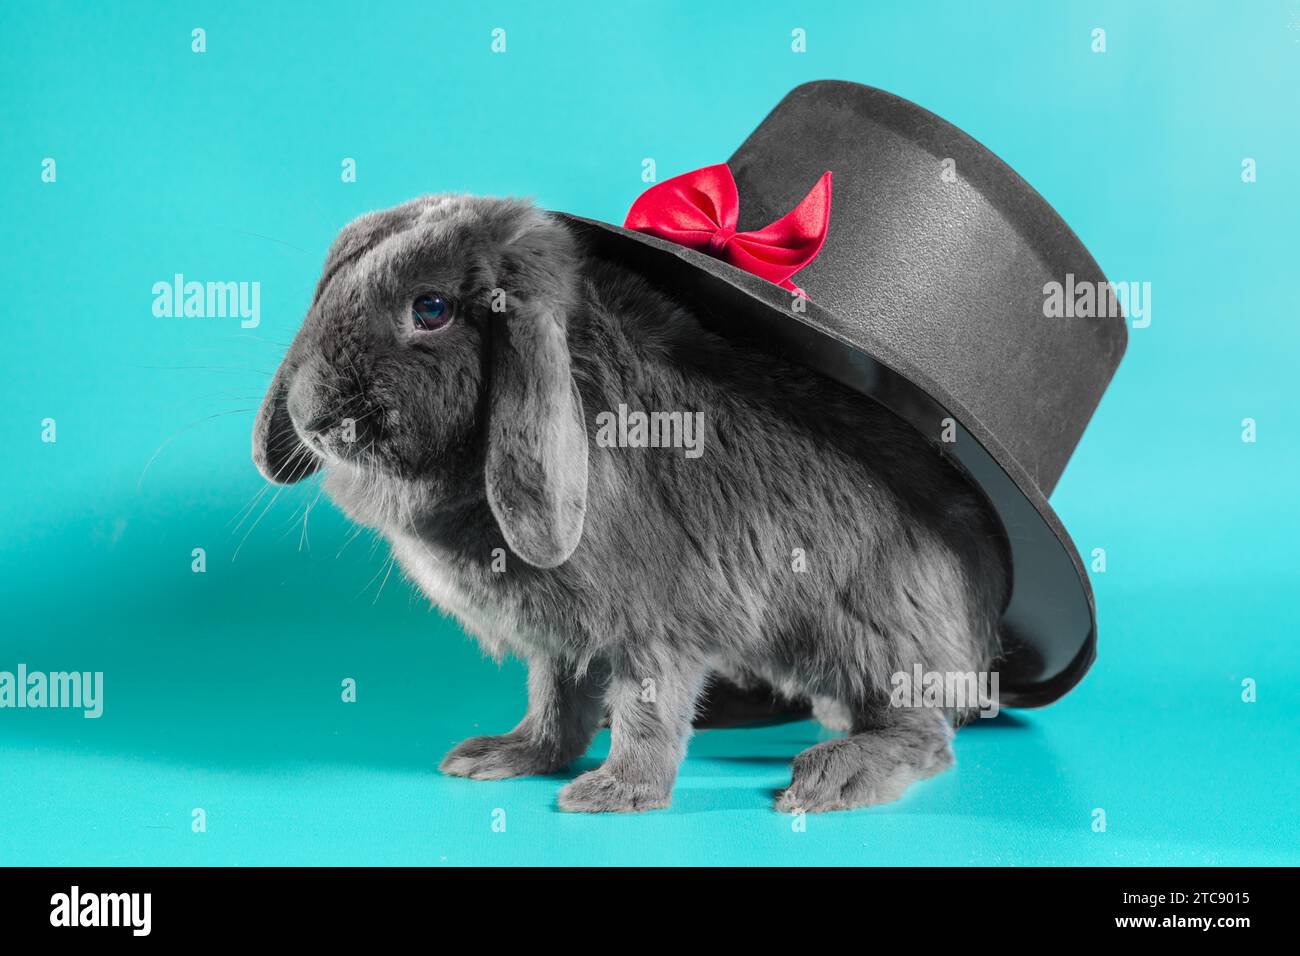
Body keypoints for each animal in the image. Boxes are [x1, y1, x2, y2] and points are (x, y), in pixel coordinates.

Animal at [250, 196, 1003, 816]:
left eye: (430, 309)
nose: (314, 418)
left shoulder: (658, 627)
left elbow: (651, 712)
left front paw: (614, 794)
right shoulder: (563, 640)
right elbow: (556, 704)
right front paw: (499, 757)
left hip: (871, 632)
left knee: (921, 730)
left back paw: (830, 778)